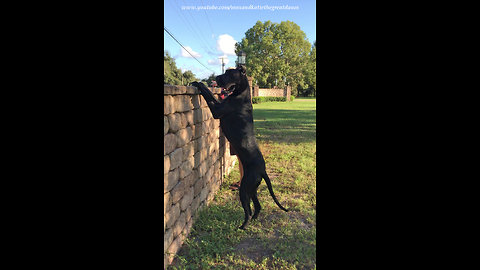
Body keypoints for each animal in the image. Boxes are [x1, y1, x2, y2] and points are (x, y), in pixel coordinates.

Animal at [191, 66, 288, 230]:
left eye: (229, 73)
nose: (216, 77)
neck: (241, 93)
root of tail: (262, 170)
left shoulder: (217, 109)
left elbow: (208, 93)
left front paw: (199, 83)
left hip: (244, 189)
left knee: (248, 210)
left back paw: (243, 226)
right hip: (252, 189)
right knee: (258, 206)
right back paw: (253, 219)